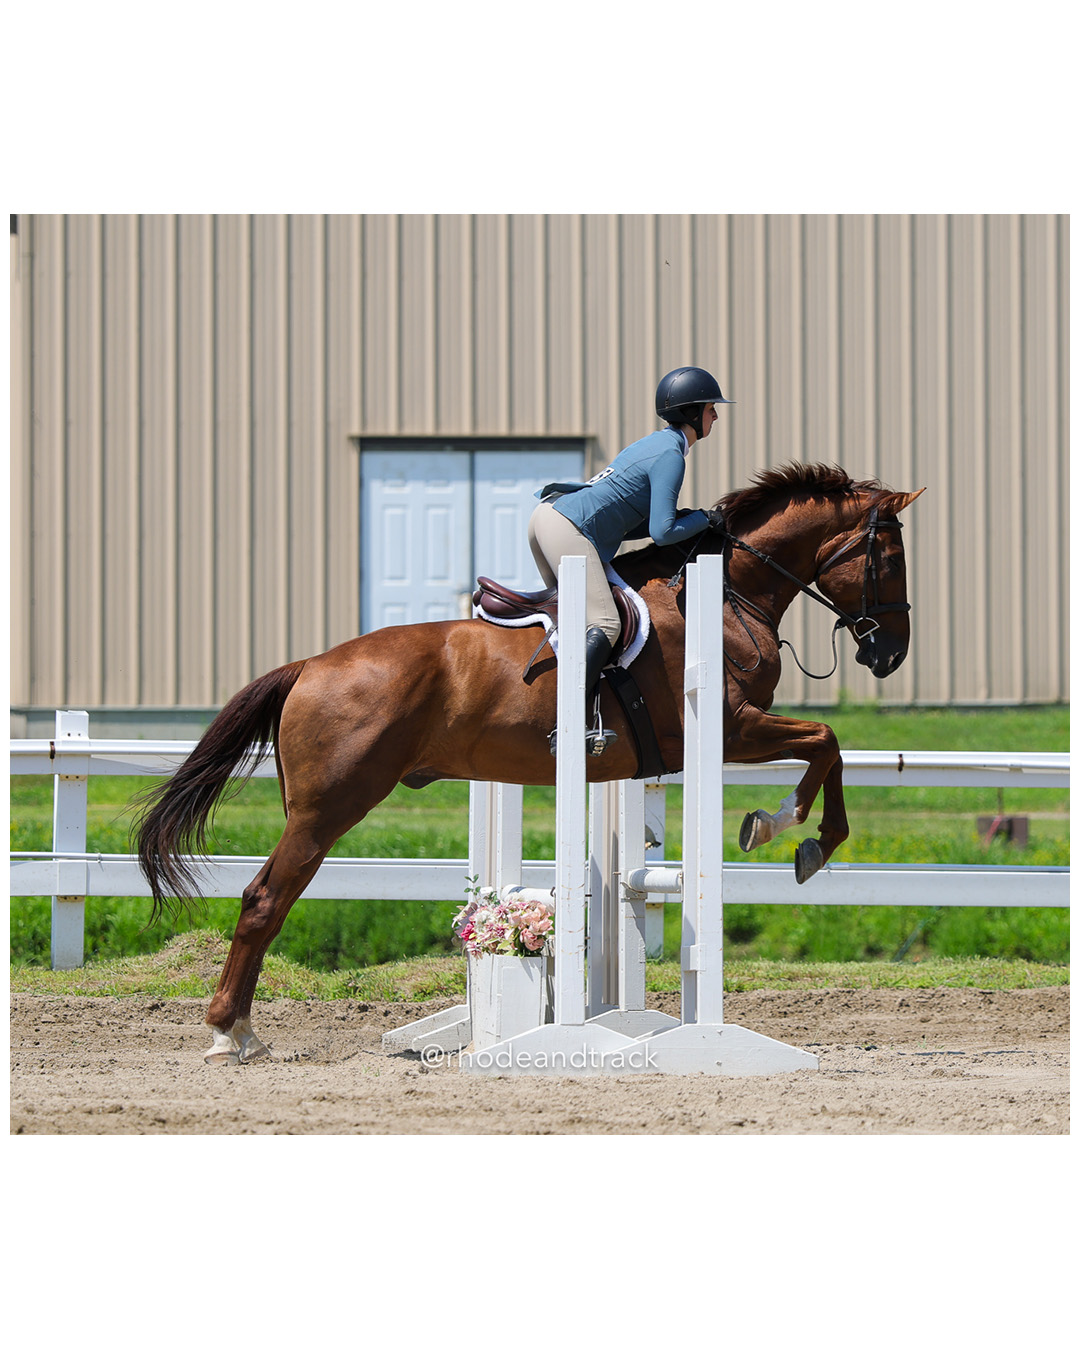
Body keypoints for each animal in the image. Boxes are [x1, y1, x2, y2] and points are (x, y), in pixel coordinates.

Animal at [135, 462, 923, 1064]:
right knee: (265, 900)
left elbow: (825, 745)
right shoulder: (731, 729)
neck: (729, 595)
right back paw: (232, 1033)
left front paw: (792, 834)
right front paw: (792, 834)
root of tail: (309, 666)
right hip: (329, 807)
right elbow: (825, 742)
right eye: (890, 559)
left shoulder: (730, 733)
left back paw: (236, 1030)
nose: (891, 654)